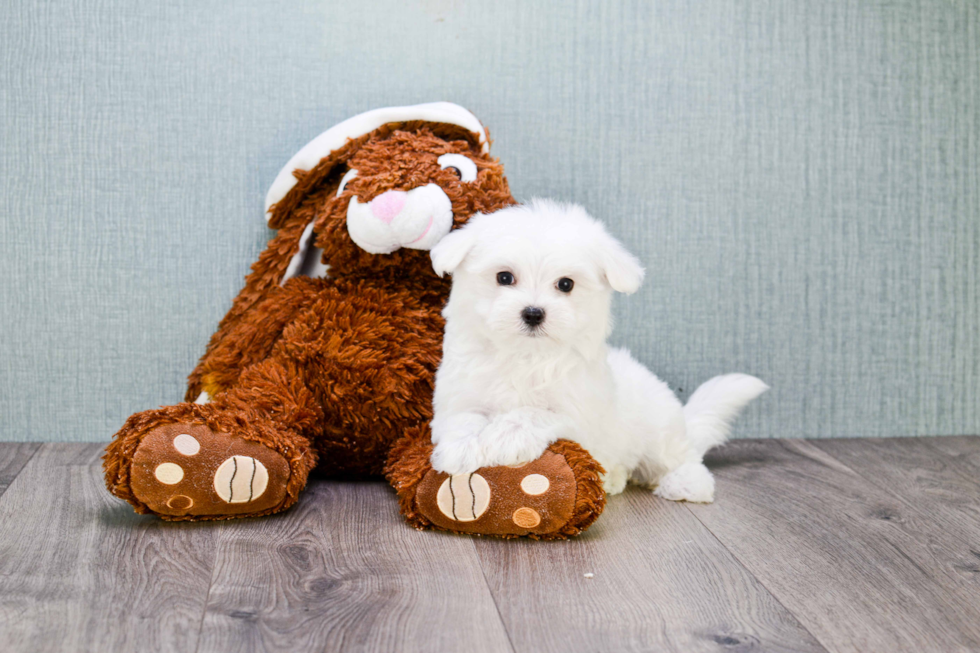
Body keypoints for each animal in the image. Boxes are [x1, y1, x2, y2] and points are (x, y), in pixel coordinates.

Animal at [424, 197, 768, 500]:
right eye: (504, 277)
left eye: (566, 284)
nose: (533, 313)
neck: (527, 355)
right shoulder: (458, 395)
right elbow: (463, 418)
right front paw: (460, 449)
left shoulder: (578, 414)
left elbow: (534, 412)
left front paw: (504, 437)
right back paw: (612, 479)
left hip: (658, 432)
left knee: (680, 458)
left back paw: (686, 484)